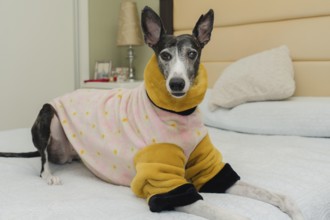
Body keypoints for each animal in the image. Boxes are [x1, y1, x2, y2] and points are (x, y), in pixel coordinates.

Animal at [0, 6, 304, 220]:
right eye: (165, 55)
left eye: (193, 53)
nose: (177, 84)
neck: (180, 114)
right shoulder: (165, 185)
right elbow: (225, 212)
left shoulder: (208, 171)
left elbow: (270, 193)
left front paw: (294, 209)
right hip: (48, 114)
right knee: (42, 161)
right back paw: (49, 175)